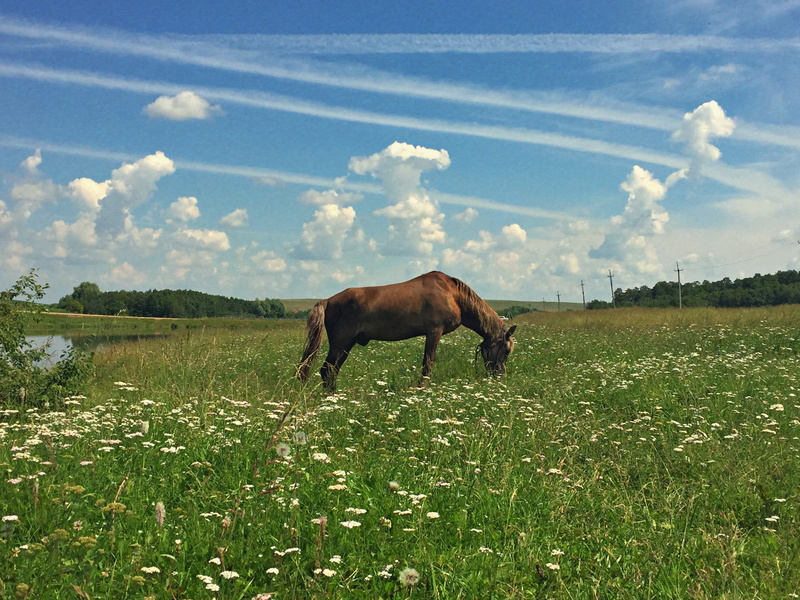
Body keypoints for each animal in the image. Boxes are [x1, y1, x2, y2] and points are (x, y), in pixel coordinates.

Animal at [297, 271, 516, 391]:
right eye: (505, 350)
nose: (501, 377)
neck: (453, 294)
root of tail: (328, 300)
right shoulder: (434, 332)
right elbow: (428, 363)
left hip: (346, 345)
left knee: (332, 370)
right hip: (341, 342)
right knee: (327, 370)